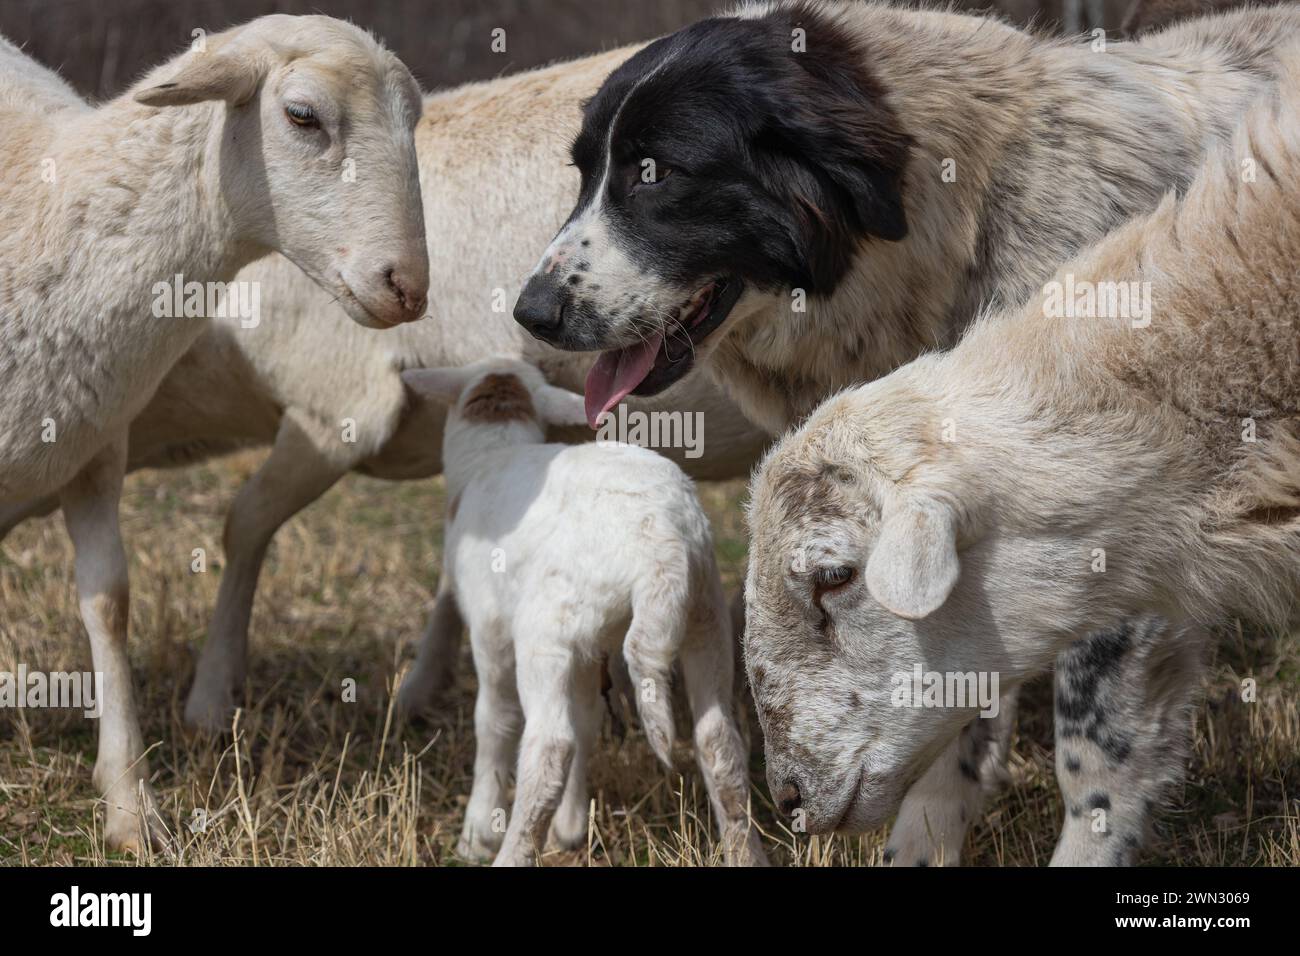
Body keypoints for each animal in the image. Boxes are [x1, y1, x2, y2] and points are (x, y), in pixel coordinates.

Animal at [400, 358, 764, 868]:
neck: (493, 450)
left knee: (550, 745)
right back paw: (745, 852)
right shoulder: (591, 648)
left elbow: (494, 720)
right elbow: (588, 720)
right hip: (703, 615)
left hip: (544, 631)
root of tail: (664, 548)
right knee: (719, 743)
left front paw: (478, 830)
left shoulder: (491, 632)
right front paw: (570, 828)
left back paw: (511, 853)